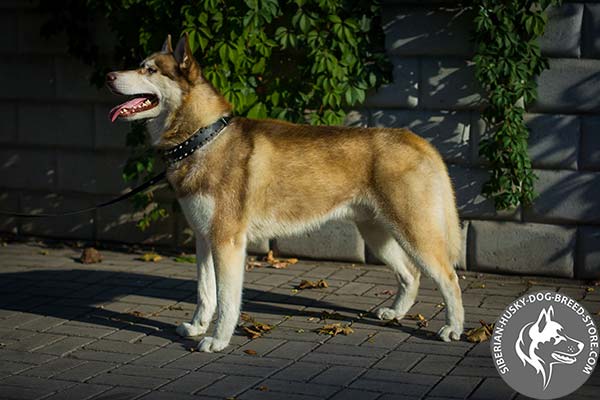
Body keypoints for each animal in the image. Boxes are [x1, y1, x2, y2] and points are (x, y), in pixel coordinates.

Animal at [106, 35, 464, 354]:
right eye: (140, 65)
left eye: (149, 70)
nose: (109, 76)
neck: (202, 137)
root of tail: (416, 139)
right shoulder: (204, 239)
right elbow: (204, 293)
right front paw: (196, 326)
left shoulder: (228, 242)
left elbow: (226, 301)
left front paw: (218, 340)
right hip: (377, 235)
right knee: (411, 274)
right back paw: (396, 313)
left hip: (414, 233)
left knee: (449, 277)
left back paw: (454, 328)